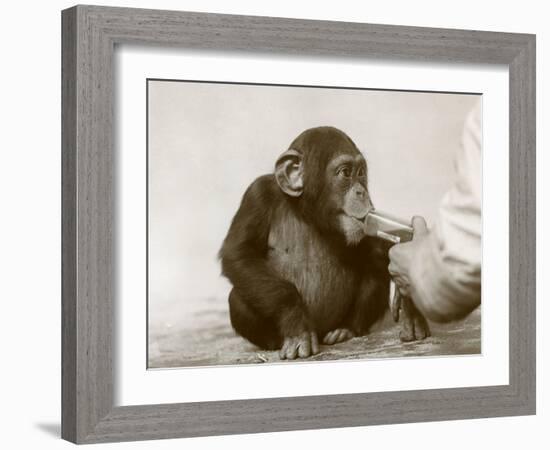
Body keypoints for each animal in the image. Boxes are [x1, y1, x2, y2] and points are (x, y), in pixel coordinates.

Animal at [220, 125, 432, 358]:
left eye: (361, 173)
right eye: (346, 173)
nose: (361, 191)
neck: (305, 211)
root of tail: (321, 332)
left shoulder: (370, 217)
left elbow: (374, 248)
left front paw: (411, 302)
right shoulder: (257, 196)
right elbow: (240, 253)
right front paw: (296, 325)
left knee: (374, 271)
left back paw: (345, 330)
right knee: (238, 298)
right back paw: (276, 341)